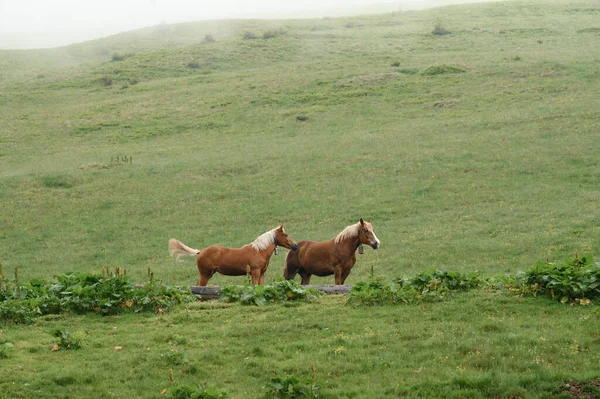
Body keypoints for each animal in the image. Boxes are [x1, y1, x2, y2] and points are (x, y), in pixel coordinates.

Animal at [169, 225, 298, 288]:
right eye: (285, 234)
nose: (295, 245)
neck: (259, 251)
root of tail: (200, 252)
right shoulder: (255, 273)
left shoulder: (261, 274)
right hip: (205, 275)